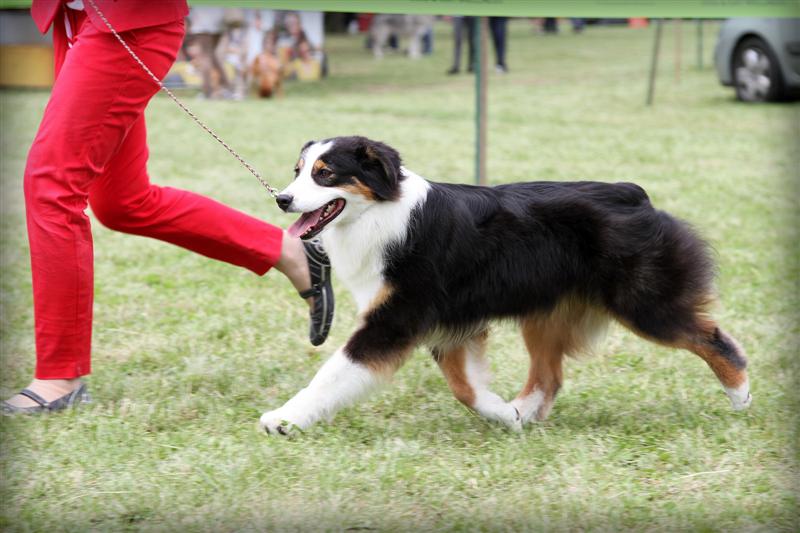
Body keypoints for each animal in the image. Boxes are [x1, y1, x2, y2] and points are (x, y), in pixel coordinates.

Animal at [260, 135, 752, 434]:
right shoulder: (449, 323)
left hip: (643, 301)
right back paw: (524, 413)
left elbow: (333, 373)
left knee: (712, 337)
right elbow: (465, 386)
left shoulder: (397, 318)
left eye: (325, 173)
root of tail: (632, 192)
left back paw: (740, 395)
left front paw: (284, 418)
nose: (282, 198)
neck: (383, 213)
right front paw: (502, 414)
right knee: (549, 377)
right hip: (547, 312)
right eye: (298, 170)